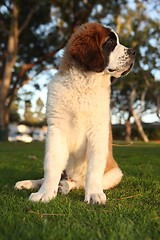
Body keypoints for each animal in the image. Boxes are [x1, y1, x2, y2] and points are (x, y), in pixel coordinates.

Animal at [15, 22, 135, 204]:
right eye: (110, 42)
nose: (134, 52)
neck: (83, 84)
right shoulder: (56, 131)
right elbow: (51, 165)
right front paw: (45, 193)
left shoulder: (97, 133)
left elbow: (94, 169)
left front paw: (94, 194)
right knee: (56, 175)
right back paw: (31, 183)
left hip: (115, 174)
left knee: (78, 182)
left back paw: (66, 186)